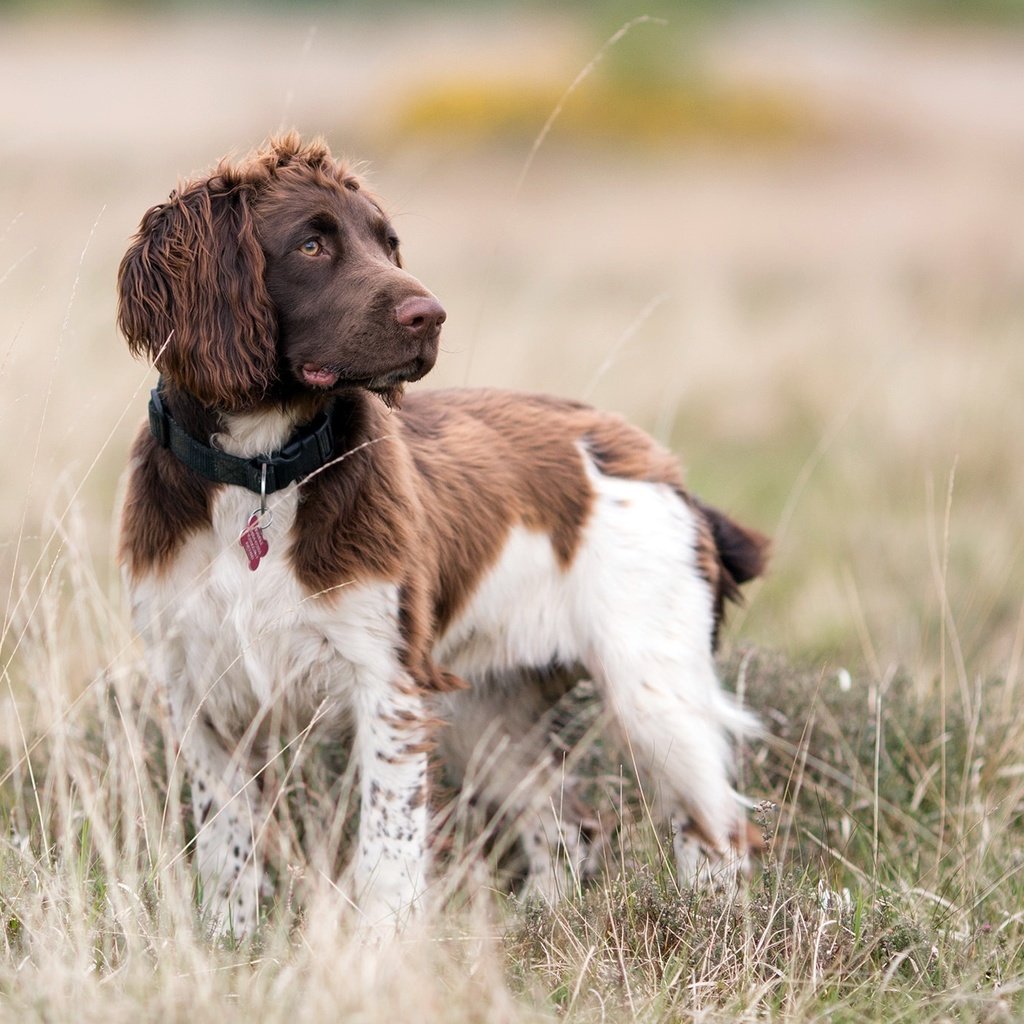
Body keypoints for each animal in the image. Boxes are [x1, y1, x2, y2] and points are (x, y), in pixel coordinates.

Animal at [116, 134, 765, 937]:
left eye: (388, 244)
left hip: (653, 692)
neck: (260, 472)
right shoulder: (197, 689)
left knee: (719, 834)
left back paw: (716, 928)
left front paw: (379, 944)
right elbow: (226, 841)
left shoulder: (386, 684)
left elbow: (386, 844)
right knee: (566, 823)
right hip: (486, 711)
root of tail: (667, 471)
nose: (432, 316)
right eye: (310, 244)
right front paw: (229, 940)